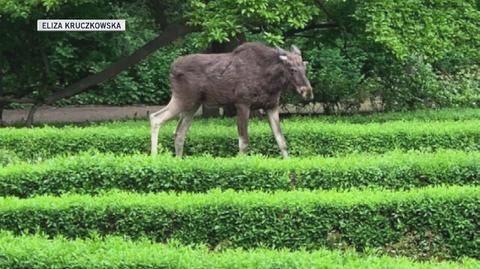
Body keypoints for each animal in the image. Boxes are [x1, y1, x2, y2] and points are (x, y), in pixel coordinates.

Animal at [151, 42, 316, 158]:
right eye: (292, 69)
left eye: (304, 68)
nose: (308, 91)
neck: (272, 83)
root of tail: (171, 69)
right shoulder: (242, 104)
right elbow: (244, 142)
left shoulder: (272, 106)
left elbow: (281, 141)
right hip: (183, 99)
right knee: (155, 117)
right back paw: (154, 158)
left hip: (192, 105)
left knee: (179, 132)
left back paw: (178, 160)